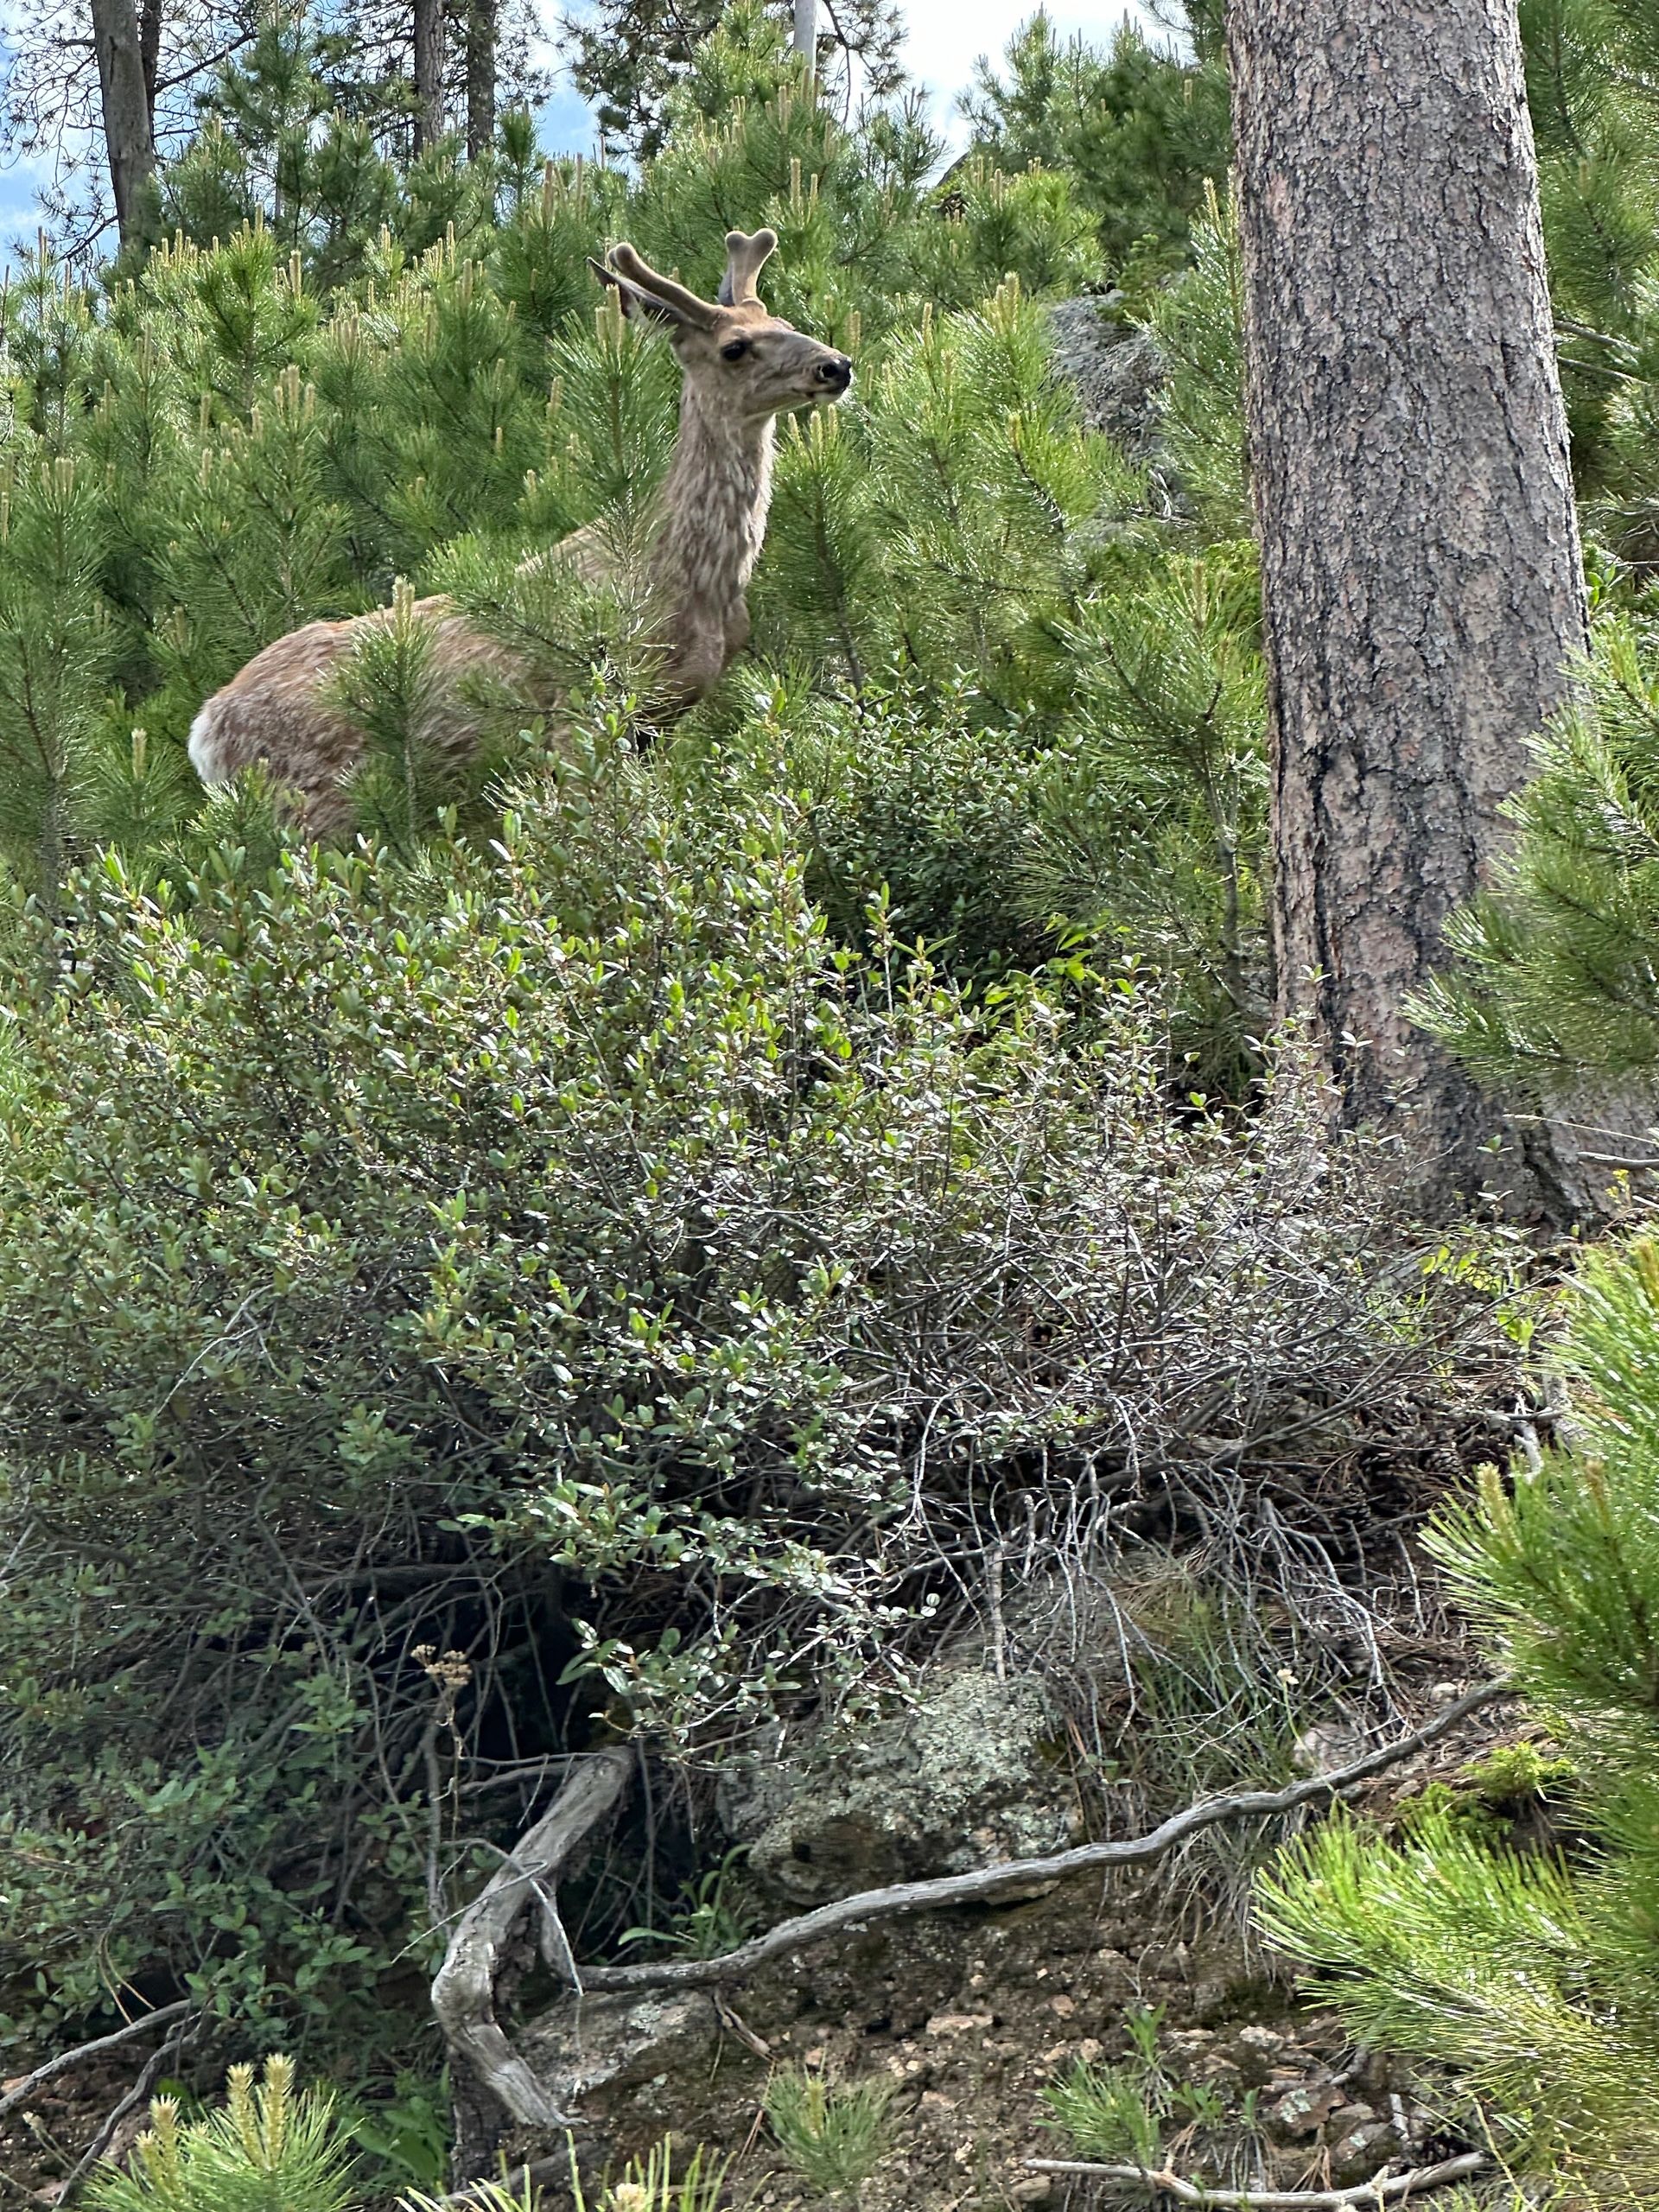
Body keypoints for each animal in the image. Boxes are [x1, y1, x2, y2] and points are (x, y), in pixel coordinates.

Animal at [186, 228, 853, 837]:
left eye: (783, 319)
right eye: (735, 347)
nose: (836, 365)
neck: (692, 577)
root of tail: (206, 728)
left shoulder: (661, 719)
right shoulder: (580, 712)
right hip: (311, 803)